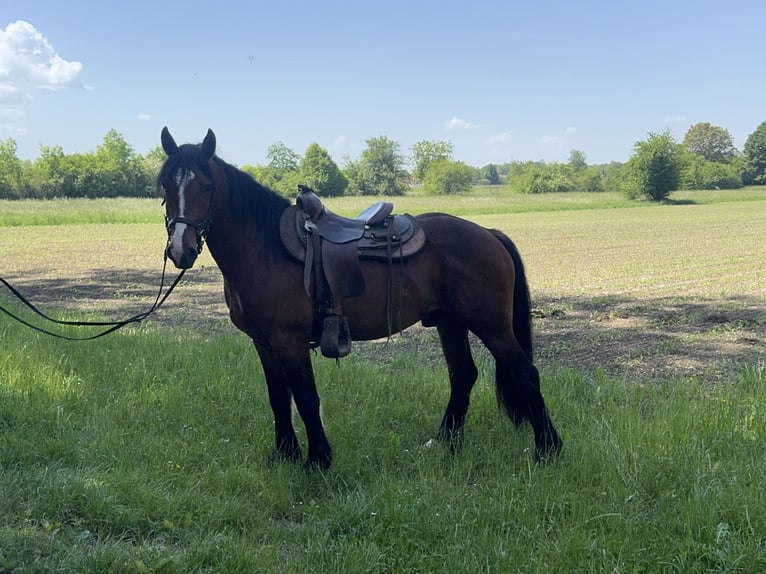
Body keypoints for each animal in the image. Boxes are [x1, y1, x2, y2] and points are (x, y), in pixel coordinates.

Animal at [158, 127, 561, 469]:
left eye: (207, 187)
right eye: (164, 187)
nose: (181, 249)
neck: (264, 248)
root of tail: (488, 233)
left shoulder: (289, 341)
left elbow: (305, 398)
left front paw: (318, 460)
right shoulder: (263, 342)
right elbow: (278, 397)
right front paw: (285, 454)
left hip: (491, 324)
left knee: (525, 373)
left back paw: (548, 448)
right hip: (450, 322)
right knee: (463, 375)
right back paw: (445, 442)